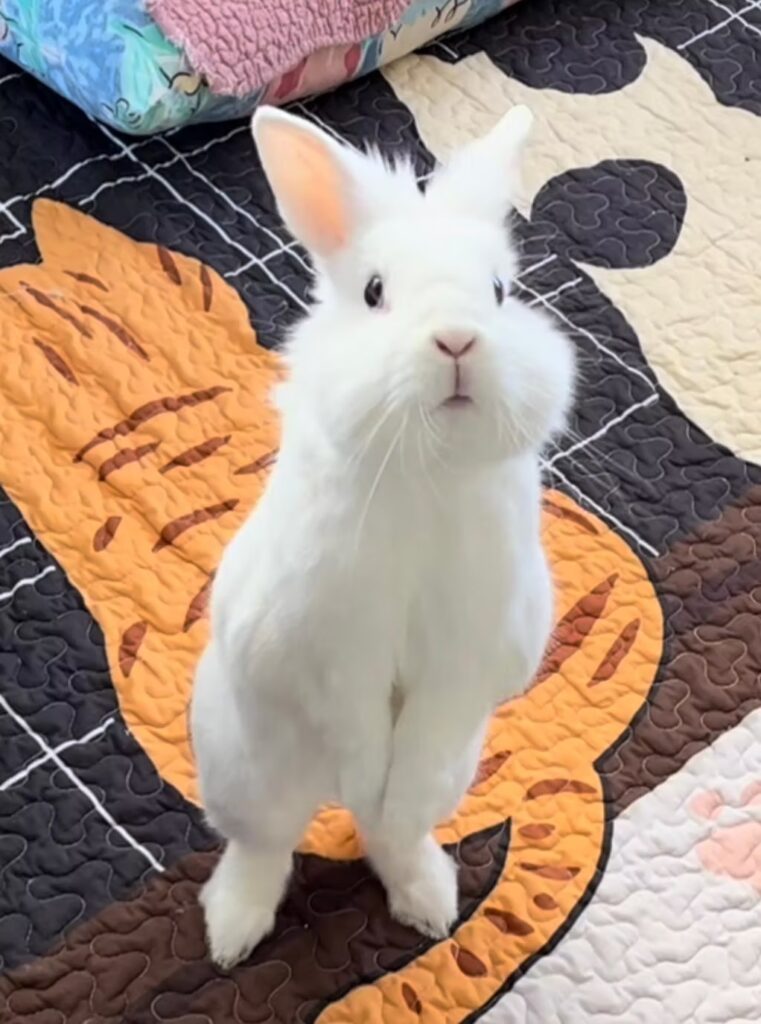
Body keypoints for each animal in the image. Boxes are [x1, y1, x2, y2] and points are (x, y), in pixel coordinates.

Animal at [191, 102, 575, 969]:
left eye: (499, 291)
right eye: (373, 291)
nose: (457, 340)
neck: (426, 469)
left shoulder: (465, 662)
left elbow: (414, 750)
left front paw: (385, 802)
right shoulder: (328, 650)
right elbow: (359, 728)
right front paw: (366, 778)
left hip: (458, 767)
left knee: (386, 834)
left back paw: (428, 902)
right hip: (241, 765)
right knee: (264, 845)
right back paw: (231, 936)